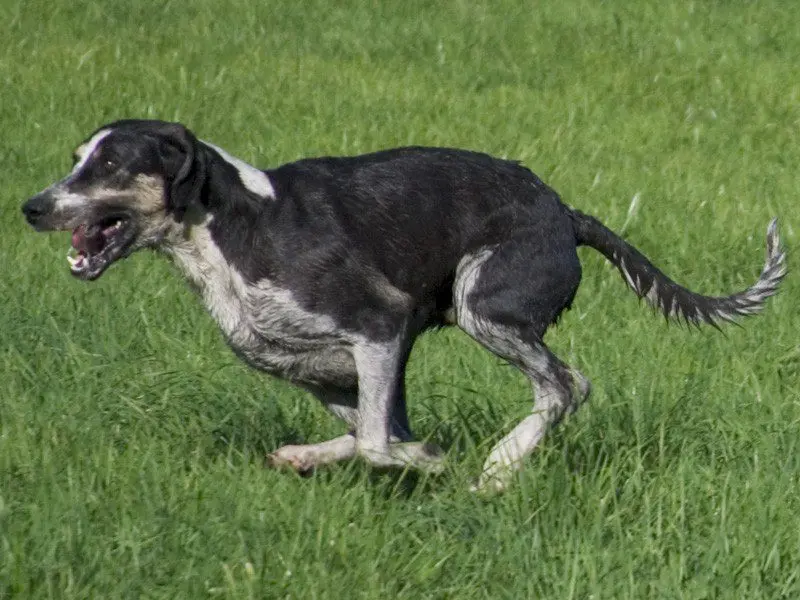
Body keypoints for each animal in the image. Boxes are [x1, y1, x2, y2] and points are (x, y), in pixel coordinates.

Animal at [21, 120, 784, 492]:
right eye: (77, 157)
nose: (32, 207)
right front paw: (311, 455)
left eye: (111, 165)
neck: (237, 226)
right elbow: (374, 433)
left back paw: (498, 469)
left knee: (569, 385)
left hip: (487, 310)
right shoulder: (328, 366)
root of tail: (566, 214)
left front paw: (436, 464)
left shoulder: (382, 326)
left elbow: (377, 444)